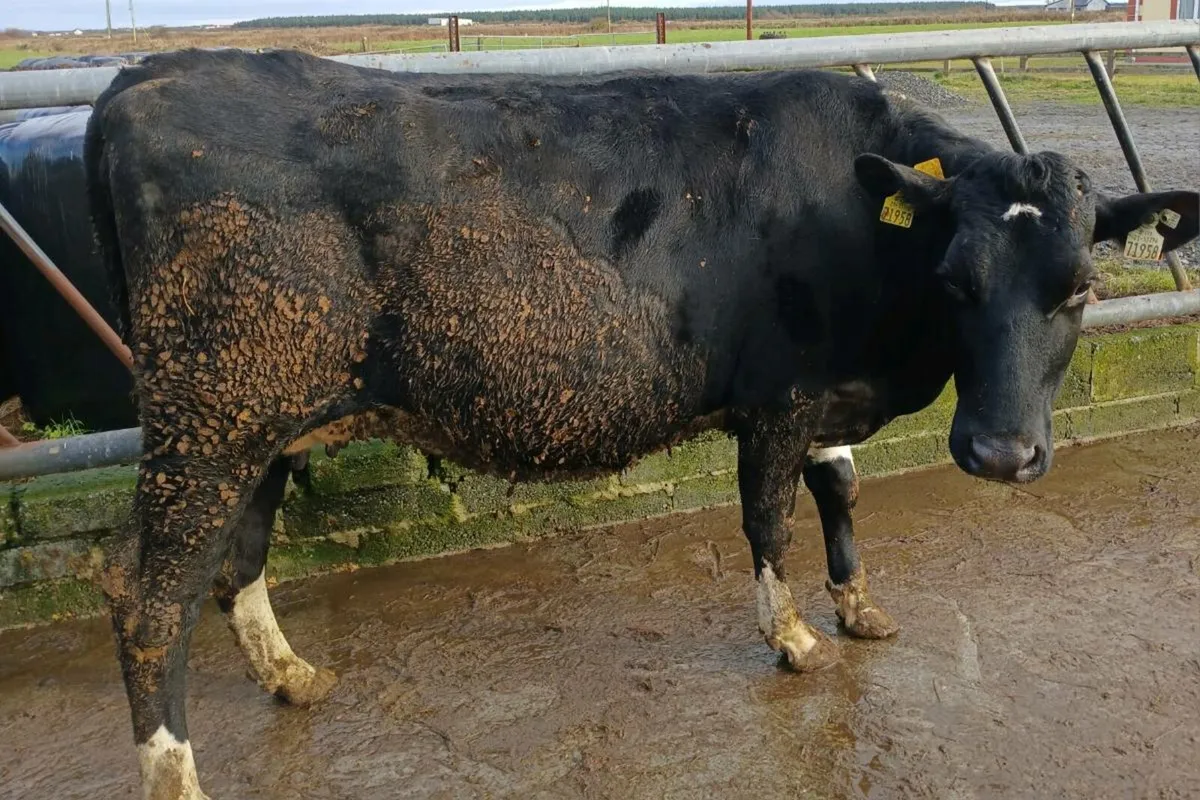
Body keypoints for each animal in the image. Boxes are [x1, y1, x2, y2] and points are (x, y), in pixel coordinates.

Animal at [82, 48, 1198, 799]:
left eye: (1082, 286)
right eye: (956, 279)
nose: (999, 453)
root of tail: (160, 71)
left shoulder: (828, 394)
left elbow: (839, 488)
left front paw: (858, 604)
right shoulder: (777, 399)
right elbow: (768, 518)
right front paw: (796, 635)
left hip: (262, 417)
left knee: (234, 559)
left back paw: (290, 674)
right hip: (208, 416)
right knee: (148, 592)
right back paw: (175, 770)